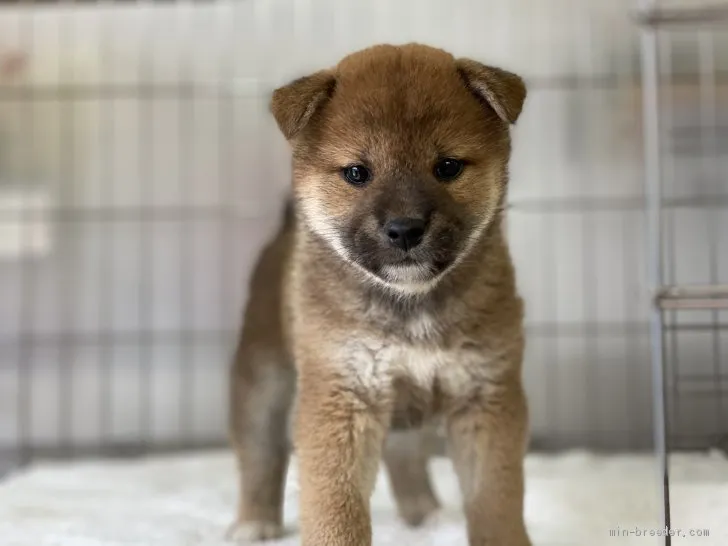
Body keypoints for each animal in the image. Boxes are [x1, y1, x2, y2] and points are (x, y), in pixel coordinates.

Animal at [230, 43, 532, 544]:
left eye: (447, 167)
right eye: (357, 172)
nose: (405, 229)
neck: (413, 306)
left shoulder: (486, 397)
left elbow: (495, 502)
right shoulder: (341, 397)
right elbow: (336, 510)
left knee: (404, 456)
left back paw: (424, 514)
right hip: (263, 381)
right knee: (259, 454)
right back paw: (255, 521)